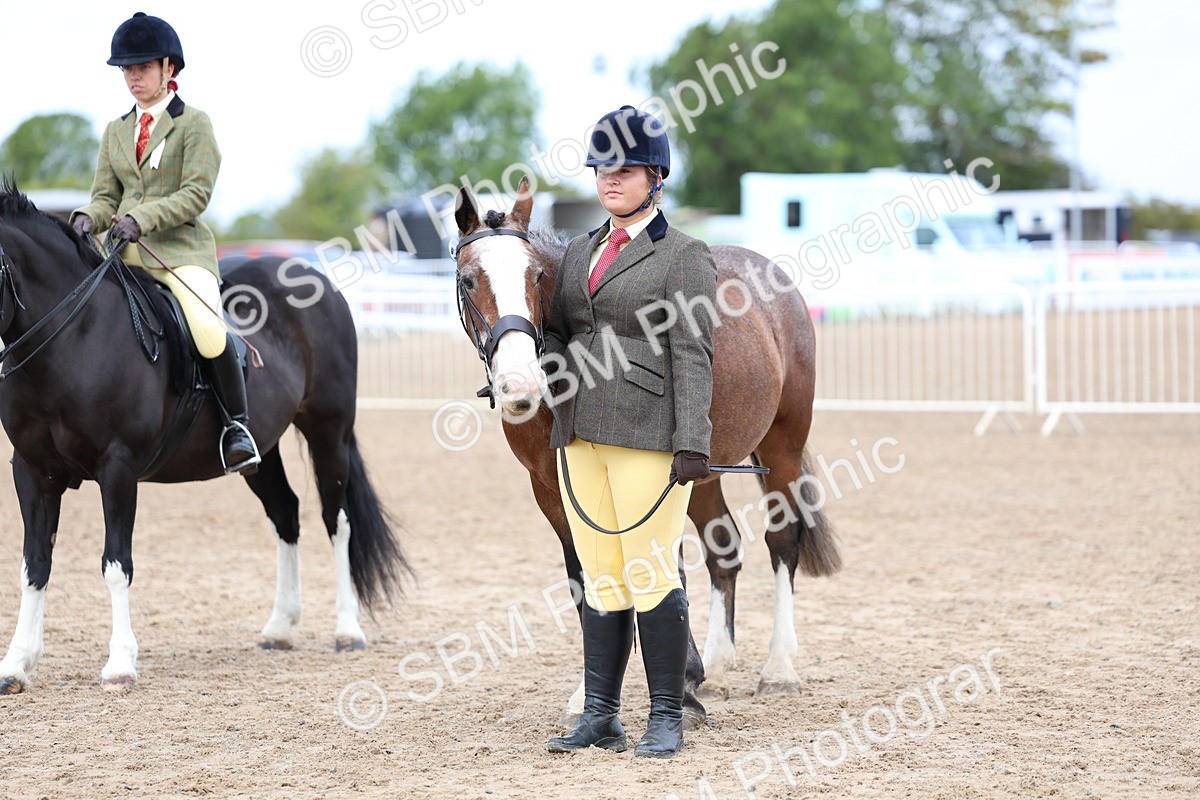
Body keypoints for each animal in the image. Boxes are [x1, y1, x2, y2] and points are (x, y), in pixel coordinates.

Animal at [0, 179, 410, 694]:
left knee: (337, 522)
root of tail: (310, 275)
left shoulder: (117, 469)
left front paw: (120, 665)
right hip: (262, 451)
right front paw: (16, 664)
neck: (72, 335)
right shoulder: (32, 470)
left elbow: (116, 564)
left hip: (328, 432)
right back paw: (279, 628)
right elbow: (33, 564)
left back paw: (347, 631)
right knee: (285, 514)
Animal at [452, 178, 841, 726]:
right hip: (703, 474)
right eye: (468, 280)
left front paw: (682, 688)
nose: (517, 385)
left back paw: (779, 668)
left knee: (782, 541)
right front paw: (588, 698)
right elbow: (585, 576)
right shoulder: (551, 490)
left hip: (782, 445)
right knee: (725, 550)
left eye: (537, 276)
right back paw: (718, 668)